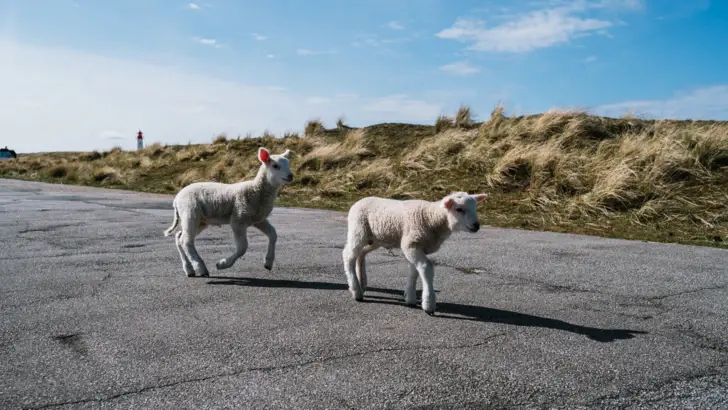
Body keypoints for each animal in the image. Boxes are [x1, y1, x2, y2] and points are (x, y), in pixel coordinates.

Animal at [164, 146, 292, 278]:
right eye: (275, 166)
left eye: (288, 164)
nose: (290, 176)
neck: (256, 190)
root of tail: (176, 199)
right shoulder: (238, 219)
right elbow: (242, 248)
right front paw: (222, 264)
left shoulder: (258, 219)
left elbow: (273, 234)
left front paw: (268, 262)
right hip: (190, 212)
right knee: (186, 241)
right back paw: (200, 267)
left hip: (200, 220)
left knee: (179, 236)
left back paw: (189, 269)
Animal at [342, 191, 490, 314]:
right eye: (459, 209)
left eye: (475, 208)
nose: (476, 226)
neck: (431, 217)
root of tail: (358, 201)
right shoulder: (411, 244)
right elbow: (425, 268)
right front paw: (429, 303)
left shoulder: (416, 247)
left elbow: (414, 271)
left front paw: (410, 298)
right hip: (358, 230)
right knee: (348, 255)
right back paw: (356, 291)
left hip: (375, 239)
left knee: (361, 254)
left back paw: (362, 283)